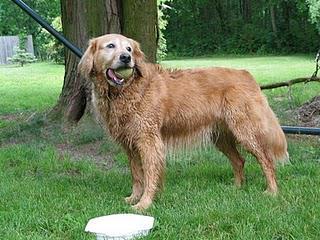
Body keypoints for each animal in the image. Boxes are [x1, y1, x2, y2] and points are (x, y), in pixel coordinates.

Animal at [79, 33, 288, 210]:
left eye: (129, 49)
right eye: (110, 46)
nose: (126, 58)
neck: (125, 91)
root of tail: (246, 74)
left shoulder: (148, 141)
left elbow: (149, 175)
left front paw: (145, 203)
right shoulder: (130, 145)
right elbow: (137, 176)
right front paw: (133, 198)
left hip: (245, 131)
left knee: (266, 160)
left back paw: (272, 191)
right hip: (220, 137)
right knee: (239, 160)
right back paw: (237, 187)